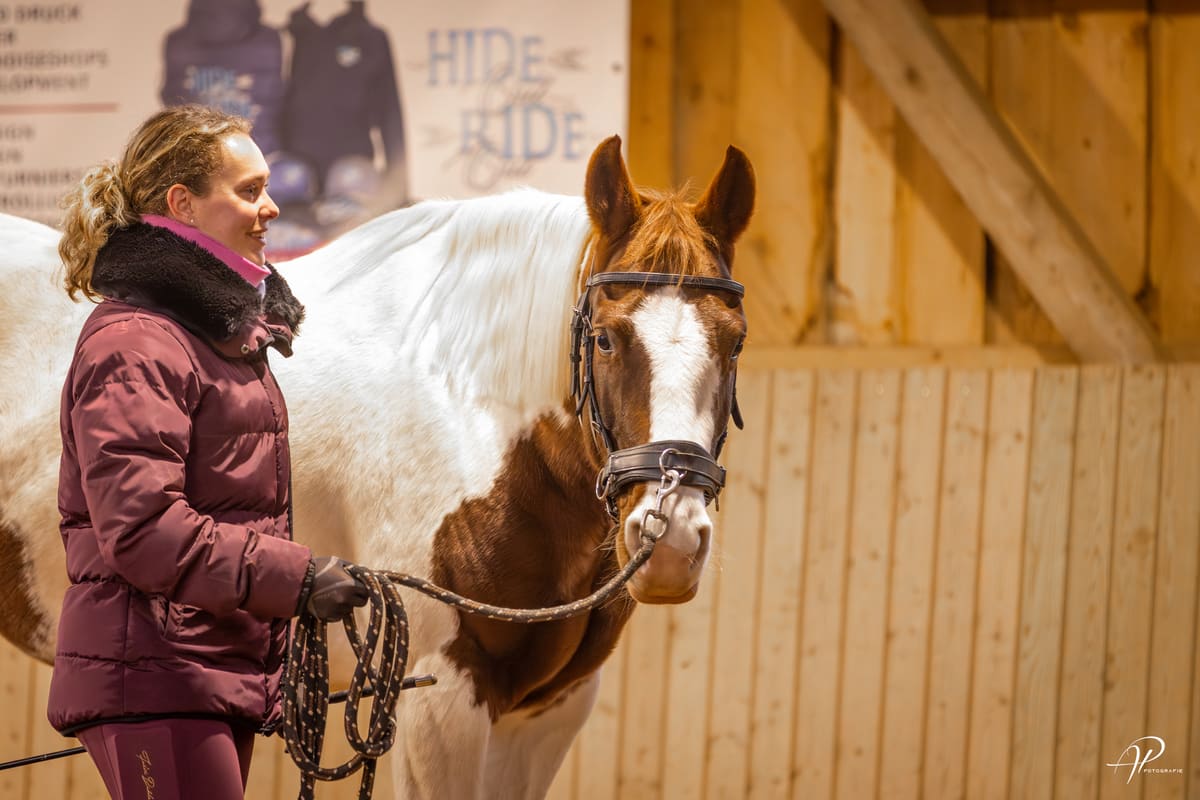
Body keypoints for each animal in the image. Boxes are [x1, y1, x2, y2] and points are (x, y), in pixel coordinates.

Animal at [0, 135, 755, 798]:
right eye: (605, 338)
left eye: (736, 340)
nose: (673, 538)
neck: (468, 403)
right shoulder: (439, 704)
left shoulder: (549, 709)